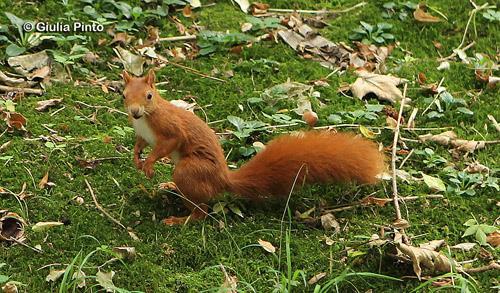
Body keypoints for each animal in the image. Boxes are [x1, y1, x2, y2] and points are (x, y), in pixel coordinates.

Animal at [122, 69, 386, 225]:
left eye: (148, 96)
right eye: (123, 95)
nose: (134, 112)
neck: (146, 117)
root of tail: (223, 180)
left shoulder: (171, 129)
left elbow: (170, 142)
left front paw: (149, 163)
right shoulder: (143, 134)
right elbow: (140, 144)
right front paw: (137, 158)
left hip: (190, 170)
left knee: (202, 210)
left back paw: (181, 219)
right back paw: (170, 188)